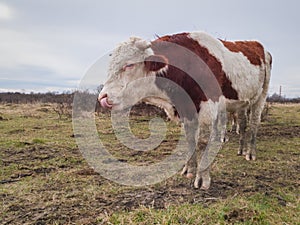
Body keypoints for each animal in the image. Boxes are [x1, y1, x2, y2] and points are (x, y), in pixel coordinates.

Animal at [98, 31, 272, 190]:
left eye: (129, 65)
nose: (103, 97)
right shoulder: (186, 109)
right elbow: (190, 140)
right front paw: (189, 170)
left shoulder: (208, 107)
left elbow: (202, 142)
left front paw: (202, 178)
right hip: (241, 104)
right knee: (242, 125)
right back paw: (241, 150)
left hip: (260, 97)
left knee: (254, 124)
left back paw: (250, 153)